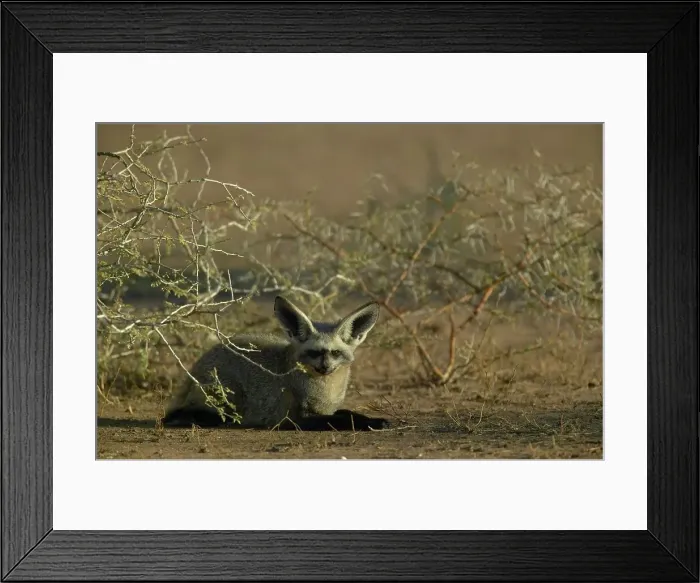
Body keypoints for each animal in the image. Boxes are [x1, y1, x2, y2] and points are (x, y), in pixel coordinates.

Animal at [161, 295, 390, 431]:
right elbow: (343, 420)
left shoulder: (327, 409)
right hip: (230, 397)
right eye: (314, 353)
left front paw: (374, 420)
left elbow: (348, 414)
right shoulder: (295, 418)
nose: (324, 368)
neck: (323, 391)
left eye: (335, 353)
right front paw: (372, 423)